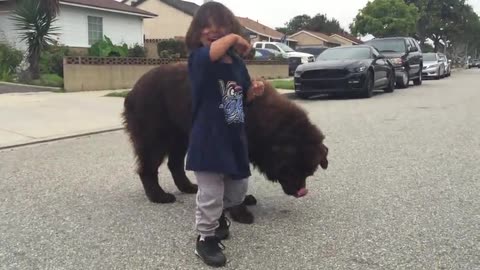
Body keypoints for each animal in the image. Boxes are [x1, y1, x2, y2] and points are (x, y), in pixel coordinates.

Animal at [122, 62, 328, 207]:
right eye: (293, 168)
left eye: (309, 172)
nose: (302, 192)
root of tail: (133, 90)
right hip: (154, 136)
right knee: (147, 167)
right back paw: (158, 196)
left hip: (181, 138)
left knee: (175, 165)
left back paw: (187, 187)